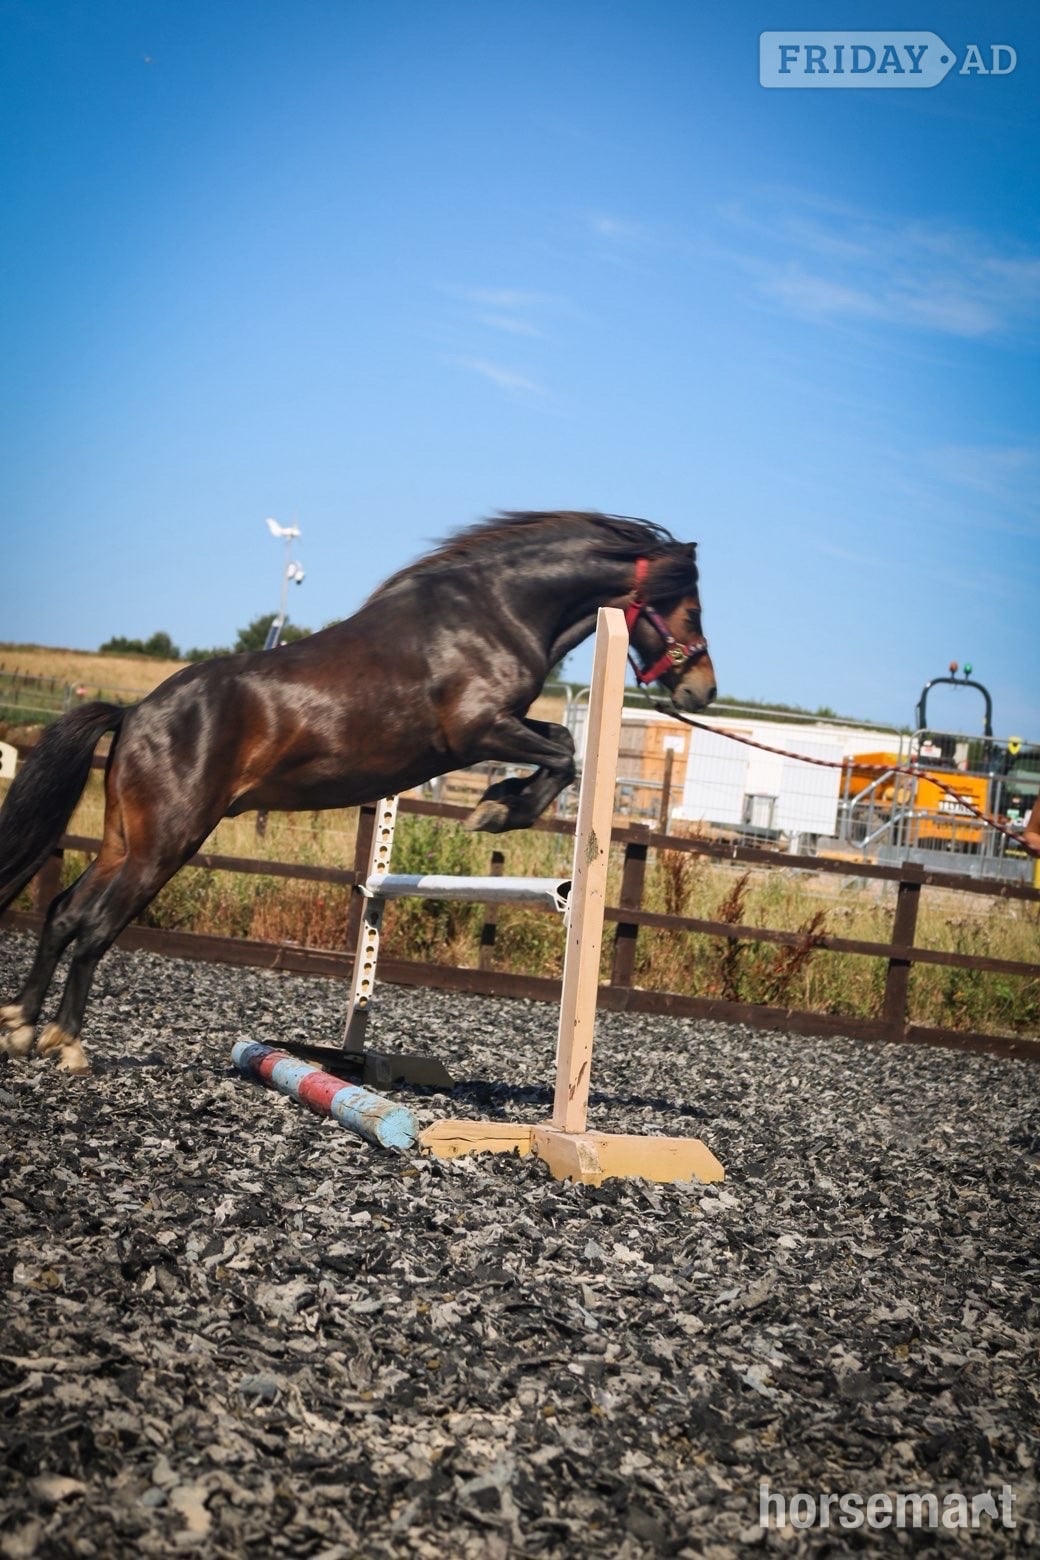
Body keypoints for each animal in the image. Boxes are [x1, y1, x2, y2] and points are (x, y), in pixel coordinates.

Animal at [0, 510, 716, 1072]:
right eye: (692, 608)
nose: (701, 691)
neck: (497, 609)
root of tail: (134, 713)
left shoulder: (498, 729)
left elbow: (559, 744)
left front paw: (497, 803)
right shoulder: (478, 730)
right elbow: (564, 753)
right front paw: (498, 809)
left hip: (124, 841)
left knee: (63, 912)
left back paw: (22, 1026)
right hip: (165, 844)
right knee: (96, 925)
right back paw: (67, 1042)